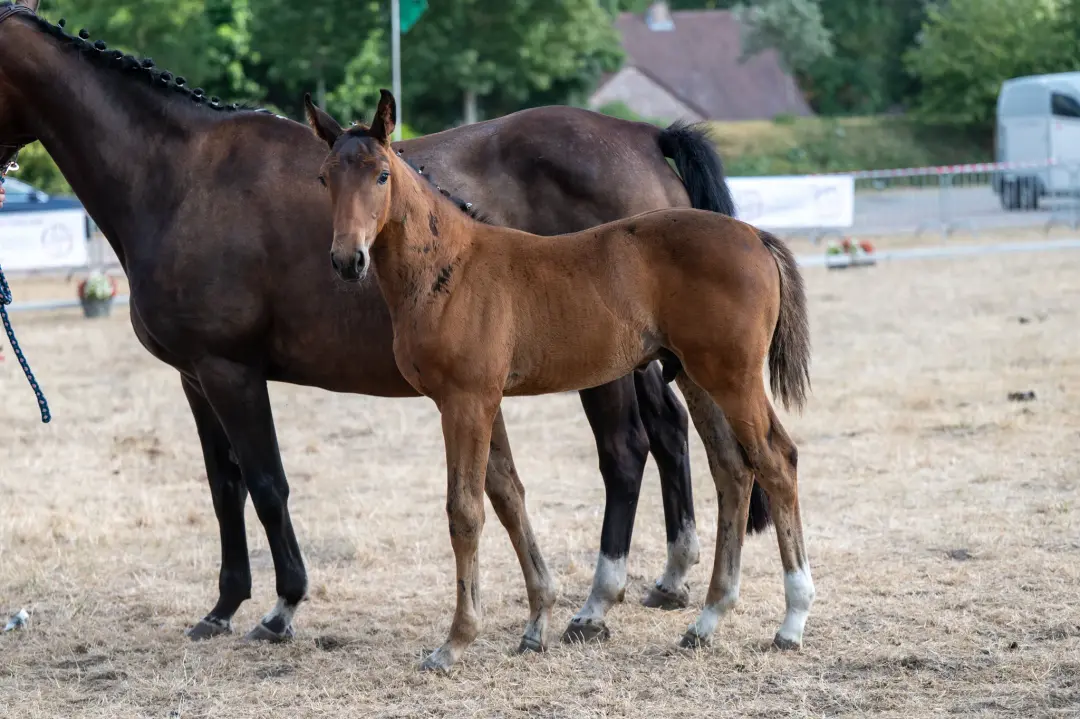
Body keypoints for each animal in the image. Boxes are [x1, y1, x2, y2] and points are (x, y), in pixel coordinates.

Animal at [0, 0, 771, 649]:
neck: (181, 175)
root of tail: (643, 135)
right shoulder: (197, 377)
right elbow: (225, 488)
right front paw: (222, 607)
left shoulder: (231, 371)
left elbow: (267, 482)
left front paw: (282, 606)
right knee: (670, 435)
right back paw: (668, 579)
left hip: (607, 369)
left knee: (626, 450)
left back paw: (596, 602)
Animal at [310, 89, 815, 673]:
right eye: (325, 177)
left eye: (382, 174)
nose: (348, 259)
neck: (451, 267)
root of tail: (755, 235)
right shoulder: (482, 401)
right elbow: (507, 495)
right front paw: (535, 627)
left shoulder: (465, 401)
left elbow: (465, 510)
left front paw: (455, 641)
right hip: (697, 374)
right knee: (732, 468)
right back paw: (707, 620)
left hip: (733, 377)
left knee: (776, 460)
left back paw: (792, 620)